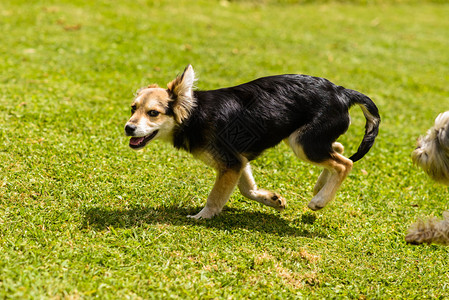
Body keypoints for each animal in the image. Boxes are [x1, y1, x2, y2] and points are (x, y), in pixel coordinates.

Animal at [124, 65, 380, 219]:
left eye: (153, 113)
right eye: (133, 108)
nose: (128, 128)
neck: (194, 115)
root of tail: (342, 92)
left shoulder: (230, 163)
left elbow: (215, 197)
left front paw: (202, 217)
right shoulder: (238, 161)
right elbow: (247, 190)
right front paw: (271, 199)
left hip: (303, 144)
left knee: (345, 163)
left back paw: (320, 200)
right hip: (305, 140)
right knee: (338, 149)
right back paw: (321, 187)